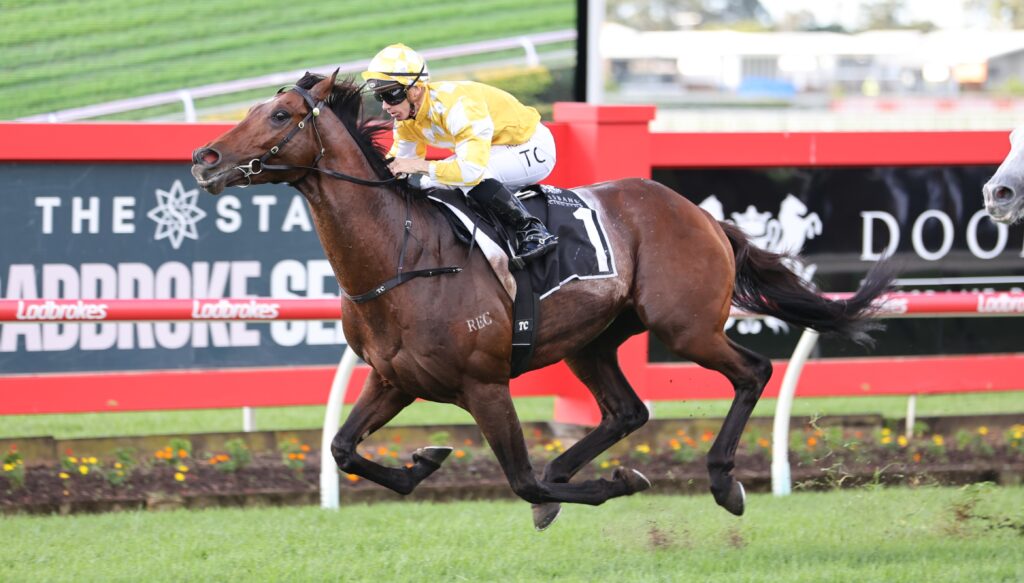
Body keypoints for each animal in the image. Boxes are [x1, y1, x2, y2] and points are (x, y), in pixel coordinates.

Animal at [191, 70, 895, 530]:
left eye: (280, 116)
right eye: (254, 109)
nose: (205, 156)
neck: (400, 255)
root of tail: (698, 213)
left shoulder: (483, 383)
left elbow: (519, 478)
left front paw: (612, 483)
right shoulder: (394, 379)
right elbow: (342, 448)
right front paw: (425, 458)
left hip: (686, 326)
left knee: (752, 371)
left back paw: (722, 481)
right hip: (593, 342)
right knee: (626, 411)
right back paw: (570, 474)